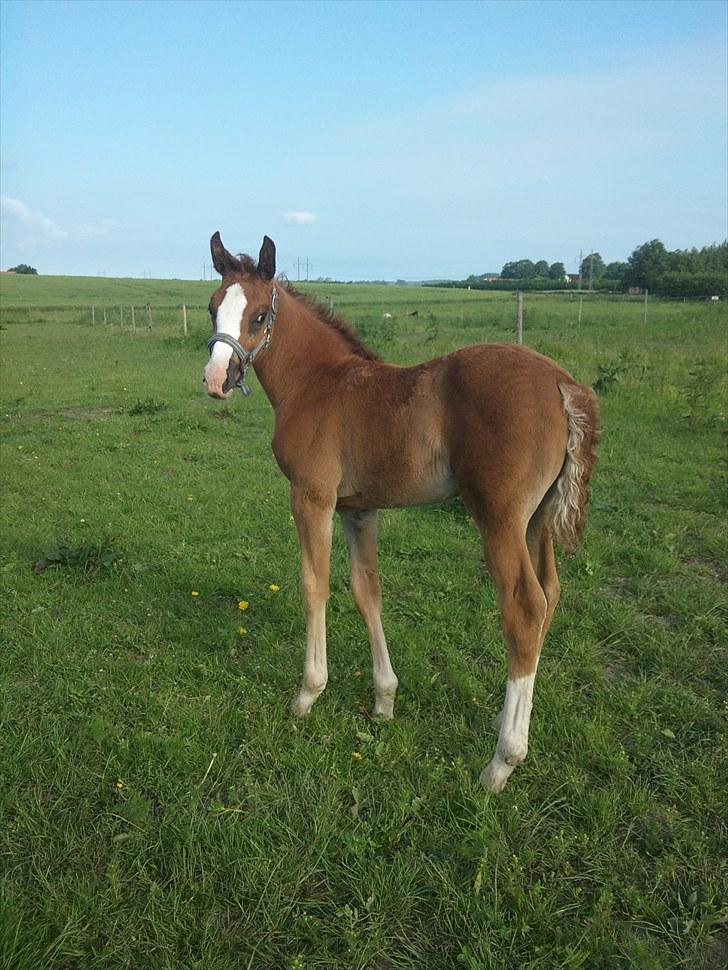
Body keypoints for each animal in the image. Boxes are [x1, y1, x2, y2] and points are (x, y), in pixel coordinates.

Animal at [202, 231, 600, 792]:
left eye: (259, 315)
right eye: (212, 307)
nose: (216, 378)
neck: (318, 383)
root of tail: (563, 383)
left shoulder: (312, 498)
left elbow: (314, 585)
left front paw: (308, 693)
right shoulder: (358, 509)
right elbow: (366, 590)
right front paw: (384, 699)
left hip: (499, 517)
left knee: (524, 607)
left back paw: (502, 761)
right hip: (537, 519)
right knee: (550, 593)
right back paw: (505, 718)